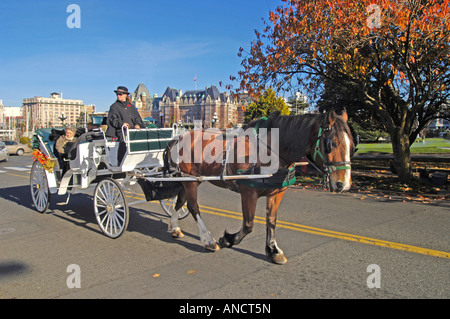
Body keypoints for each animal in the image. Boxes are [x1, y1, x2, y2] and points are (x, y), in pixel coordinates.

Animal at [163, 110, 354, 264]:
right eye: (331, 144)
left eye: (352, 145)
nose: (343, 184)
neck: (270, 151)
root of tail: (178, 137)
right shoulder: (248, 192)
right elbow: (249, 224)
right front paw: (227, 240)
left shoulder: (277, 192)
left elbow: (271, 220)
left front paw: (273, 250)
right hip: (190, 180)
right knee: (193, 206)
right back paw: (208, 240)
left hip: (187, 179)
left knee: (179, 201)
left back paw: (175, 228)